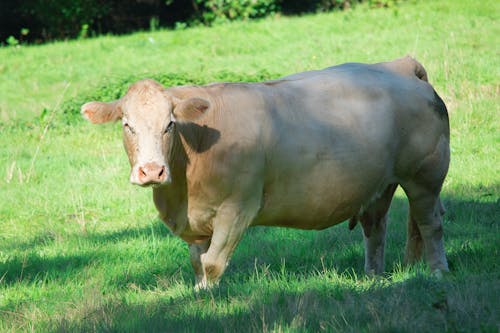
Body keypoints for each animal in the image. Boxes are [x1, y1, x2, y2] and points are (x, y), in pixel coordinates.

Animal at [81, 55, 450, 286]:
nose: (152, 171)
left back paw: (437, 273)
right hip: (378, 183)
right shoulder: (196, 220)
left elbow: (213, 262)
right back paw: (373, 278)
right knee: (376, 229)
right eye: (127, 125)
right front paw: (197, 297)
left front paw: (211, 302)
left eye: (169, 124)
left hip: (425, 177)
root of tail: (399, 66)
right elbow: (198, 263)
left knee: (430, 224)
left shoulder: (237, 207)